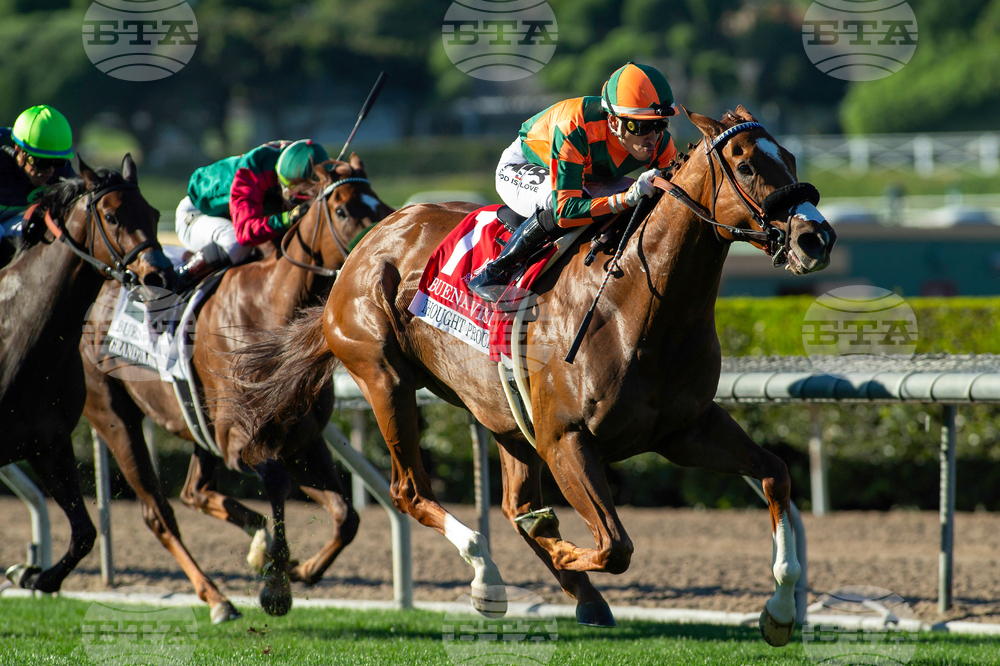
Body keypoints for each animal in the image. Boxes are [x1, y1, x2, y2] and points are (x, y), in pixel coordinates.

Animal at [1, 155, 174, 594]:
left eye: (154, 213)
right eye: (111, 215)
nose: (161, 276)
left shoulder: (50, 445)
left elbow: (84, 534)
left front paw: (34, 575)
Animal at [78, 154, 393, 622]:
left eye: (379, 201)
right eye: (342, 210)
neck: (270, 309)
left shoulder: (302, 437)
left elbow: (346, 516)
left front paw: (300, 570)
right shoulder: (240, 442)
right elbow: (278, 484)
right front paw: (276, 585)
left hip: (198, 425)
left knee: (194, 492)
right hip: (114, 416)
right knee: (159, 512)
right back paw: (218, 599)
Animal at [229, 106, 835, 646]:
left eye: (790, 156)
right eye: (746, 164)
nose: (816, 237)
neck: (634, 307)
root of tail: (365, 246)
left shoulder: (686, 429)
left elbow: (775, 473)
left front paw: (781, 612)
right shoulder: (567, 439)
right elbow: (614, 544)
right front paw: (556, 544)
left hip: (502, 414)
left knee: (513, 503)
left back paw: (576, 593)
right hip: (384, 377)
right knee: (410, 490)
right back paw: (487, 578)